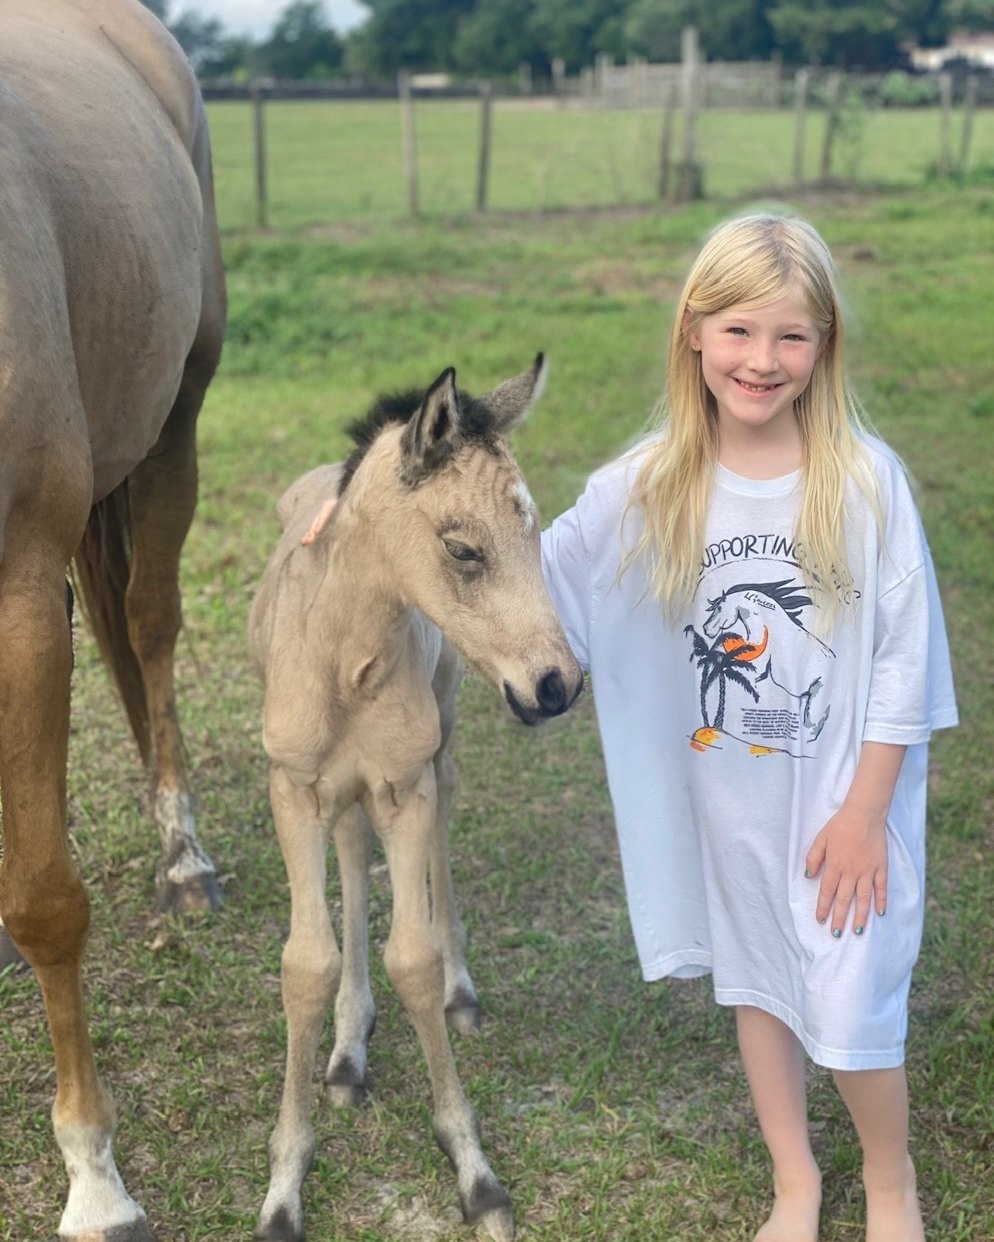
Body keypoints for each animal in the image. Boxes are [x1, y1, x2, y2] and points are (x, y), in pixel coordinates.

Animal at [247, 356, 583, 1242]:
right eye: (463, 549)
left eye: (535, 532)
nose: (557, 685)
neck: (346, 659)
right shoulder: (294, 790)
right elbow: (307, 963)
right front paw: (283, 1186)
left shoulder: (404, 785)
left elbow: (415, 957)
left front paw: (474, 1171)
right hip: (343, 793)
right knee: (353, 852)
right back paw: (346, 1050)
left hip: (444, 732)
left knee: (437, 831)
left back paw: (457, 993)